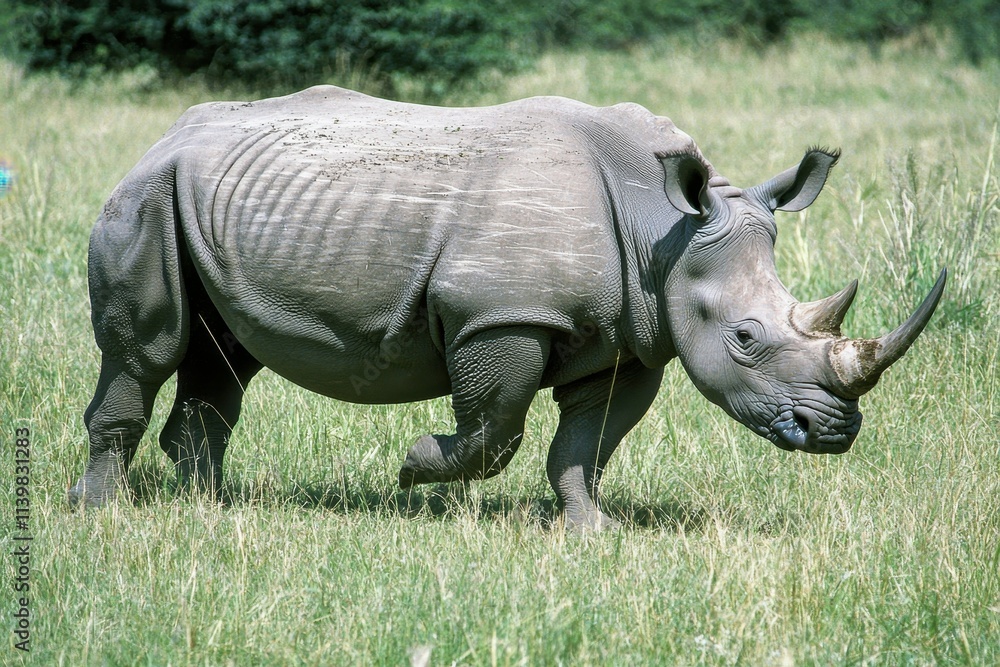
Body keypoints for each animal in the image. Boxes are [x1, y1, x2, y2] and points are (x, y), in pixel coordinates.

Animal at [70, 85, 946, 530]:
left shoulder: (633, 334)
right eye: (746, 337)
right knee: (145, 351)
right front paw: (412, 468)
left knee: (224, 356)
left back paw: (209, 506)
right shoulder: (501, 315)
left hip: (208, 201)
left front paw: (591, 531)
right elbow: (496, 430)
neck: (662, 229)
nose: (835, 433)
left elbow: (587, 442)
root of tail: (161, 137)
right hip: (144, 198)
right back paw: (98, 513)